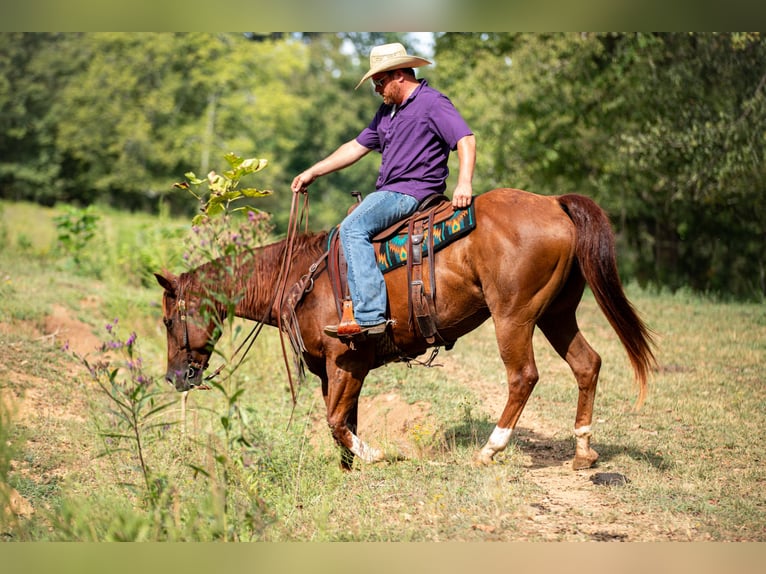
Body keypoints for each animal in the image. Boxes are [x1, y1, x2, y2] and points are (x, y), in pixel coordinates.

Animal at [155, 188, 656, 471]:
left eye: (167, 320)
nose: (174, 377)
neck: (300, 277)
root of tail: (554, 205)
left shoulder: (347, 359)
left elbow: (335, 420)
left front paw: (373, 456)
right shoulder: (335, 371)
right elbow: (343, 420)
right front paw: (347, 469)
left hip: (514, 316)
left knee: (523, 377)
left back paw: (491, 449)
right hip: (556, 314)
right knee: (587, 364)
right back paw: (583, 451)